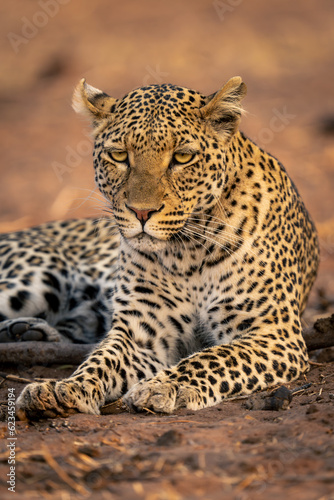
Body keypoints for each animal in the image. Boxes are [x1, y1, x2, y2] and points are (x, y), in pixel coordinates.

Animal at [1, 75, 320, 418]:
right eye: (119, 155)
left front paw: (163, 386)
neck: (189, 251)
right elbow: (101, 360)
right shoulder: (142, 332)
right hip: (40, 276)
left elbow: (214, 357)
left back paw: (26, 332)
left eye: (182, 157)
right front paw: (66, 387)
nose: (141, 212)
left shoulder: (273, 333)